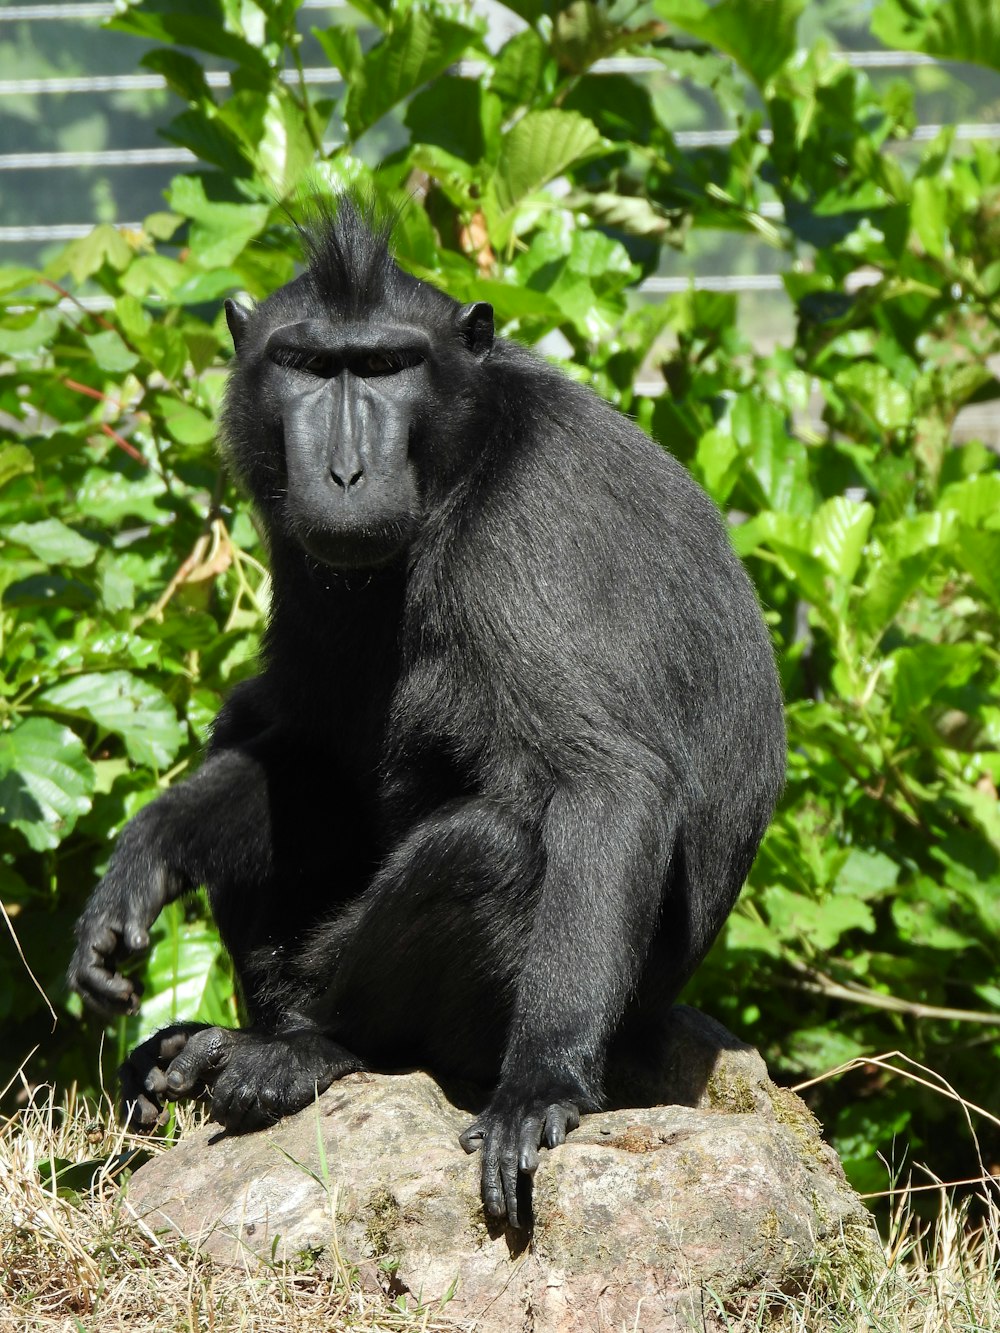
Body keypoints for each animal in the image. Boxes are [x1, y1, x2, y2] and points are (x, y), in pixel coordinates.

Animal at [70, 194, 789, 1226]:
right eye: (307, 364)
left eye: (384, 366)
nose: (342, 475)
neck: (463, 453)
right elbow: (307, 743)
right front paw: (146, 856)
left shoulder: (526, 527)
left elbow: (607, 779)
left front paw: (543, 1082)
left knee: (489, 851)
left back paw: (305, 1047)